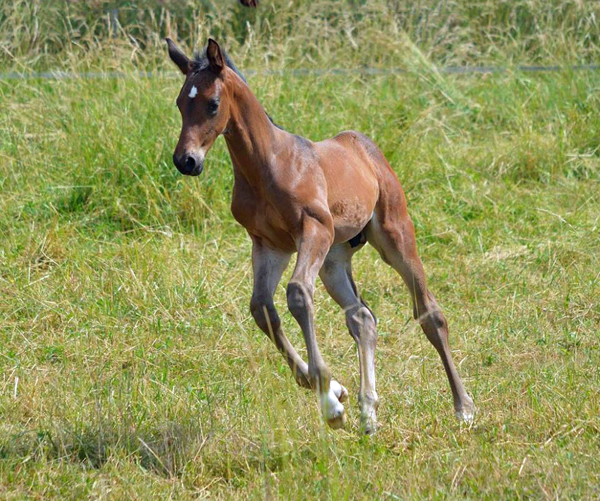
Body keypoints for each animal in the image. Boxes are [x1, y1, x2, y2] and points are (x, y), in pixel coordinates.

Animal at [164, 37, 474, 432]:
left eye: (212, 103)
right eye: (179, 103)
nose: (185, 161)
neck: (268, 165)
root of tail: (363, 145)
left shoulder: (313, 229)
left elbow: (297, 295)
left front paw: (330, 402)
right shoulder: (268, 245)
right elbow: (261, 308)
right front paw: (334, 391)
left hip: (393, 235)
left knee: (429, 313)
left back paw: (463, 407)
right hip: (334, 258)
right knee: (362, 317)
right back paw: (368, 411)